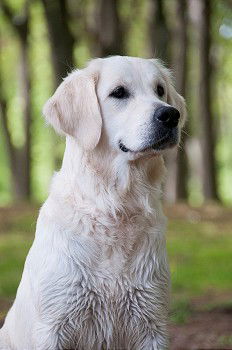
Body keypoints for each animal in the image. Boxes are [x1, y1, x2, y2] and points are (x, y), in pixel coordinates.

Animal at [0, 56, 185, 348]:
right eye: (119, 92)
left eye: (160, 90)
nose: (170, 115)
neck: (115, 206)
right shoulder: (53, 325)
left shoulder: (152, 322)